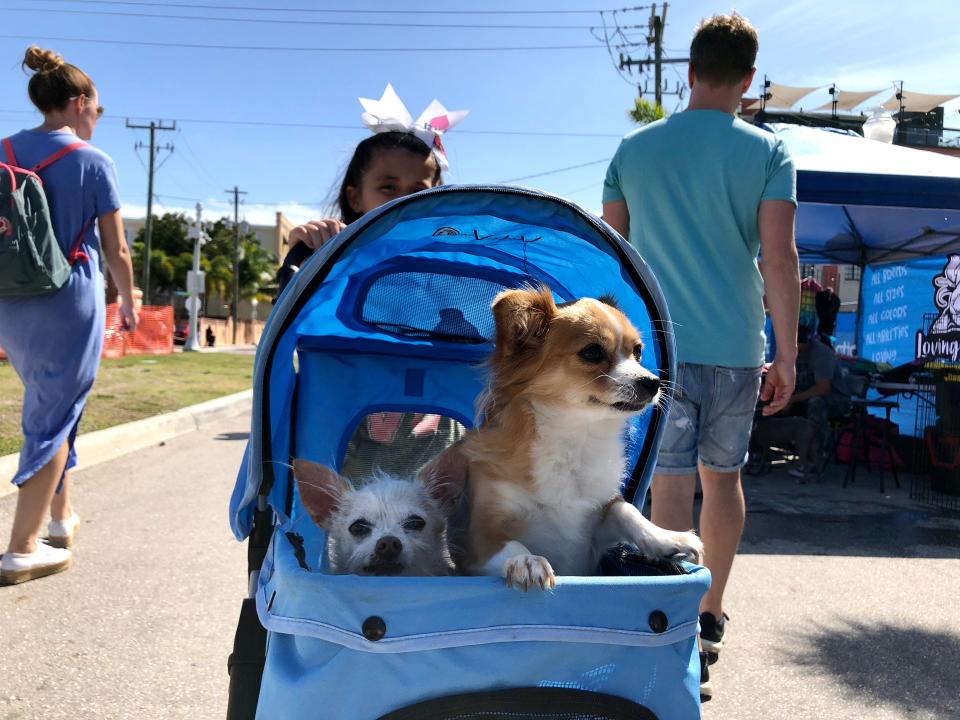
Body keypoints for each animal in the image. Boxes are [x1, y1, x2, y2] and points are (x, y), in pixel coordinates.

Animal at [438, 286, 700, 592]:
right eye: (592, 352)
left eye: (637, 352)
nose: (653, 382)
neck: (576, 437)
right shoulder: (479, 538)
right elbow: (511, 544)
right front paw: (528, 561)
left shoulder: (598, 518)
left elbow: (626, 510)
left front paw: (667, 538)